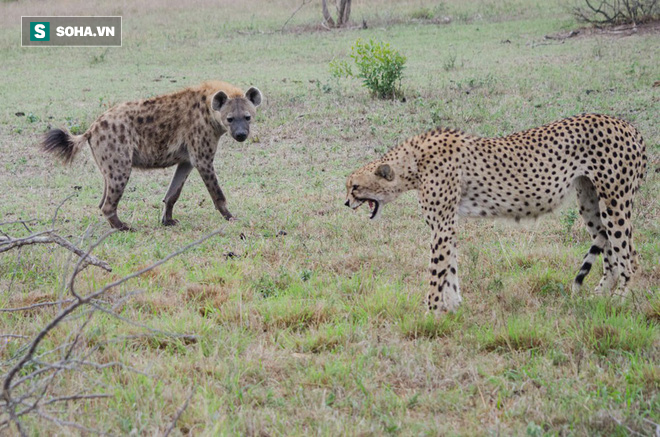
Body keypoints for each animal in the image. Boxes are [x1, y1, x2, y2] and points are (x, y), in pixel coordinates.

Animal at [40, 81, 262, 228]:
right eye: (230, 119)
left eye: (248, 117)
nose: (241, 135)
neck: (209, 113)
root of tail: (92, 127)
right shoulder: (202, 157)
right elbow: (217, 192)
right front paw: (230, 217)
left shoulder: (187, 160)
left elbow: (173, 193)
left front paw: (168, 220)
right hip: (120, 162)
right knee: (108, 203)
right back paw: (123, 227)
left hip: (107, 165)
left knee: (102, 200)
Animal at [348, 114, 648, 316]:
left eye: (355, 187)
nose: (346, 202)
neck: (413, 164)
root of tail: (629, 126)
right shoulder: (448, 224)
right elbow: (450, 266)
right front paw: (453, 306)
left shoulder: (442, 225)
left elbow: (437, 271)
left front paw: (430, 313)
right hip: (590, 201)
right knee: (610, 253)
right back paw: (600, 298)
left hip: (615, 201)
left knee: (630, 256)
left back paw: (620, 300)